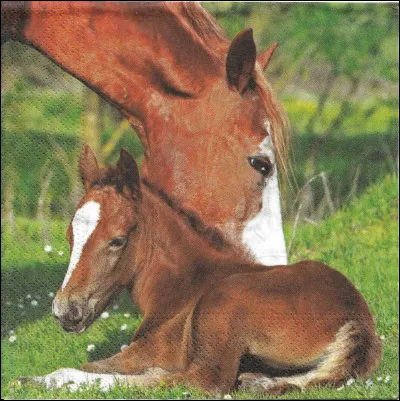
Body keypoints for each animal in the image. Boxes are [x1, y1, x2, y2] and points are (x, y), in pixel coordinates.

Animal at [50, 145, 382, 392]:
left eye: (117, 240)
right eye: (69, 236)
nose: (65, 309)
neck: (184, 284)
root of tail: (357, 319)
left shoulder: (146, 350)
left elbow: (84, 367)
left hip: (223, 300)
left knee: (201, 381)